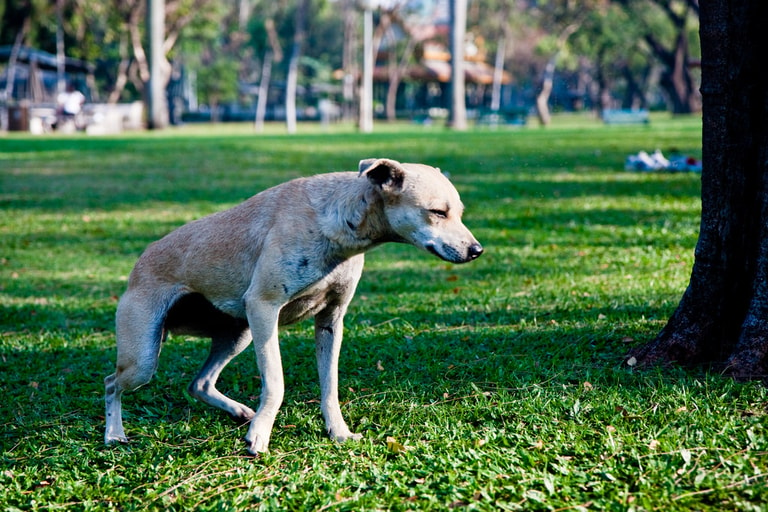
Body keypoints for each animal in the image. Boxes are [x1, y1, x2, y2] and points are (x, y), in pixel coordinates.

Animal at [105, 158, 484, 454]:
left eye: (459, 212)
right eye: (437, 212)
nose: (476, 250)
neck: (334, 222)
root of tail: (139, 263)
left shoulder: (331, 321)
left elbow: (330, 385)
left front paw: (338, 431)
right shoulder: (264, 308)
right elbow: (276, 382)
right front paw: (259, 436)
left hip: (237, 334)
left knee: (199, 383)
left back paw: (239, 411)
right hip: (144, 357)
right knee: (112, 382)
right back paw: (114, 434)